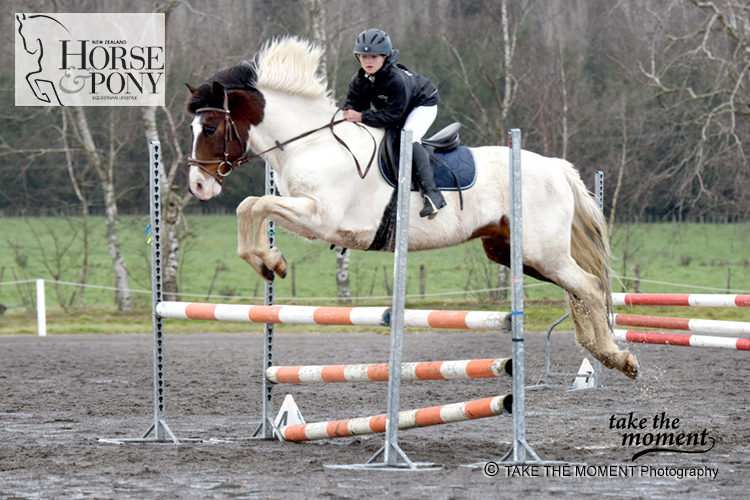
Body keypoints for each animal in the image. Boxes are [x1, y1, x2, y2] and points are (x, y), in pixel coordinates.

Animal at [185, 36, 636, 378]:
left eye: (210, 127)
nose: (198, 186)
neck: (311, 142)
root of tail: (557, 167)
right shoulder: (307, 213)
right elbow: (251, 206)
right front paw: (267, 261)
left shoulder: (321, 216)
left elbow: (254, 205)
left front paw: (271, 263)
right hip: (515, 253)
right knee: (579, 289)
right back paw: (601, 351)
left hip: (541, 251)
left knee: (588, 286)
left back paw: (617, 357)